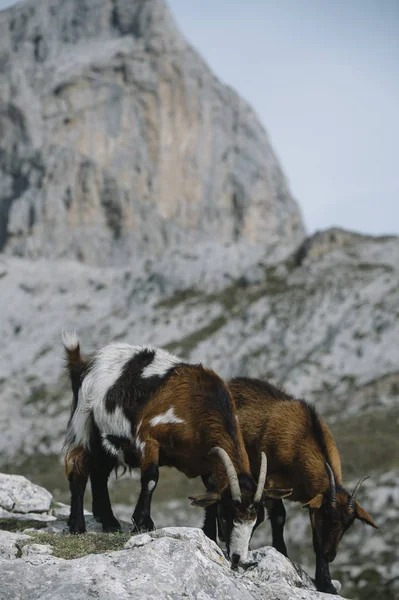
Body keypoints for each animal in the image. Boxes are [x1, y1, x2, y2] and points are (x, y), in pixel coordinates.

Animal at [61, 332, 290, 568]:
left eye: (257, 521)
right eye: (227, 515)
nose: (239, 559)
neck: (196, 407)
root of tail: (84, 363)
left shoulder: (206, 462)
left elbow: (210, 495)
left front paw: (209, 535)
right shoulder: (148, 438)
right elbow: (151, 479)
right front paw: (142, 523)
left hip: (106, 440)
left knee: (100, 473)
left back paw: (109, 522)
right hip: (86, 424)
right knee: (78, 467)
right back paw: (77, 526)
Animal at [211, 378, 376, 592]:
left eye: (348, 525)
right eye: (326, 516)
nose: (331, 555)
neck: (301, 438)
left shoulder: (312, 500)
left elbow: (316, 537)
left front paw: (326, 583)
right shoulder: (271, 482)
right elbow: (279, 517)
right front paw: (281, 553)